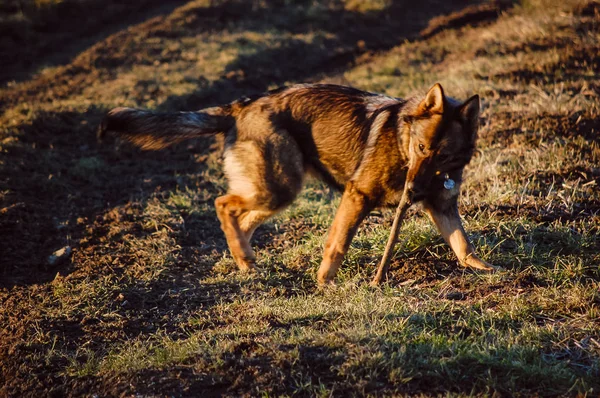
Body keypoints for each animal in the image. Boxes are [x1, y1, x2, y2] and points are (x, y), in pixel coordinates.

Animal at [101, 82, 500, 284]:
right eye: (420, 148)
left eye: (443, 156)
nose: (413, 190)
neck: (402, 142)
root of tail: (240, 106)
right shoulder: (358, 196)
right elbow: (337, 244)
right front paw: (325, 282)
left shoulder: (442, 206)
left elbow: (462, 243)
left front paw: (484, 270)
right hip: (279, 186)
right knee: (222, 204)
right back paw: (244, 258)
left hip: (274, 191)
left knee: (241, 219)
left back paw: (245, 260)